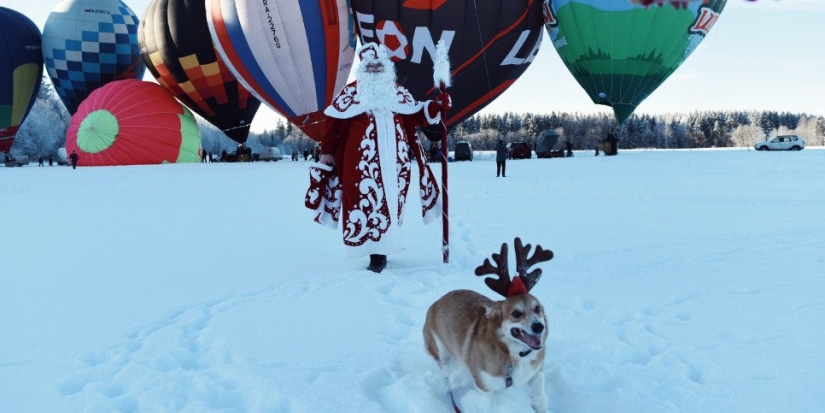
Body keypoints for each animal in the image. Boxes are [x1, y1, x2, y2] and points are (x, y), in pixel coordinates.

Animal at [422, 237, 552, 410]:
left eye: (537, 309)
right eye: (516, 314)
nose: (539, 327)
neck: (513, 354)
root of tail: (436, 302)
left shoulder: (536, 371)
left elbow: (540, 396)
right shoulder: (484, 387)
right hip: (441, 352)